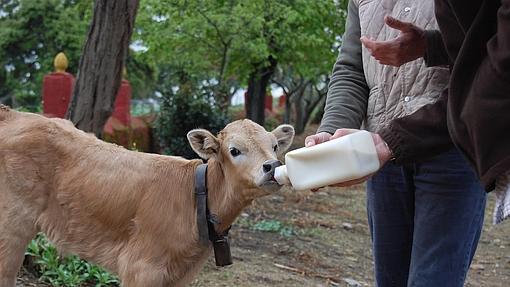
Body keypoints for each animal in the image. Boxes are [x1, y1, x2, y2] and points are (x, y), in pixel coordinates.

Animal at [0, 106, 294, 287]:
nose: (272, 166)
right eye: (234, 150)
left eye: (274, 146)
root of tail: (11, 113)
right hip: (12, 225)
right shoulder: (141, 268)